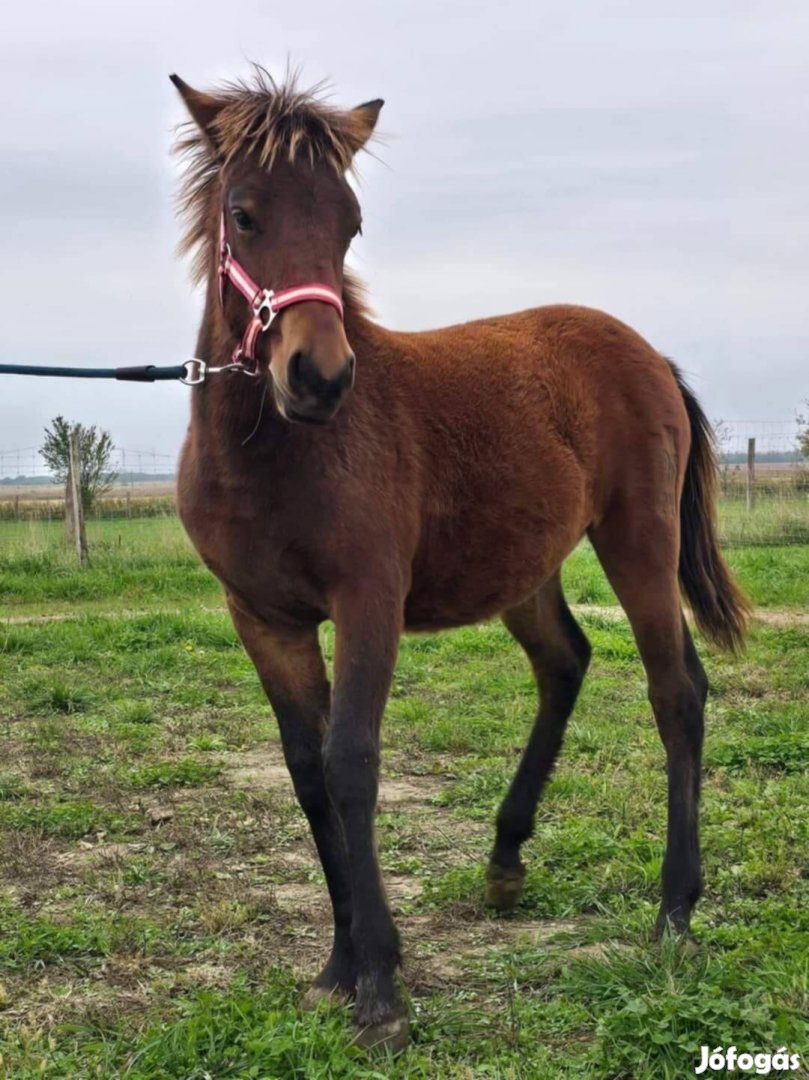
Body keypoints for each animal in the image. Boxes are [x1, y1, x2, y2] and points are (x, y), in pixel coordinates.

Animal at [168, 65, 743, 1045]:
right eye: (244, 214)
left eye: (349, 221)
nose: (319, 377)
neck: (274, 454)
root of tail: (647, 353)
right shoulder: (262, 618)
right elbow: (307, 774)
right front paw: (338, 965)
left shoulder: (367, 600)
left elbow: (352, 763)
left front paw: (379, 985)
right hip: (525, 566)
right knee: (564, 662)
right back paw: (505, 858)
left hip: (637, 541)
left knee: (676, 692)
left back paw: (674, 911)